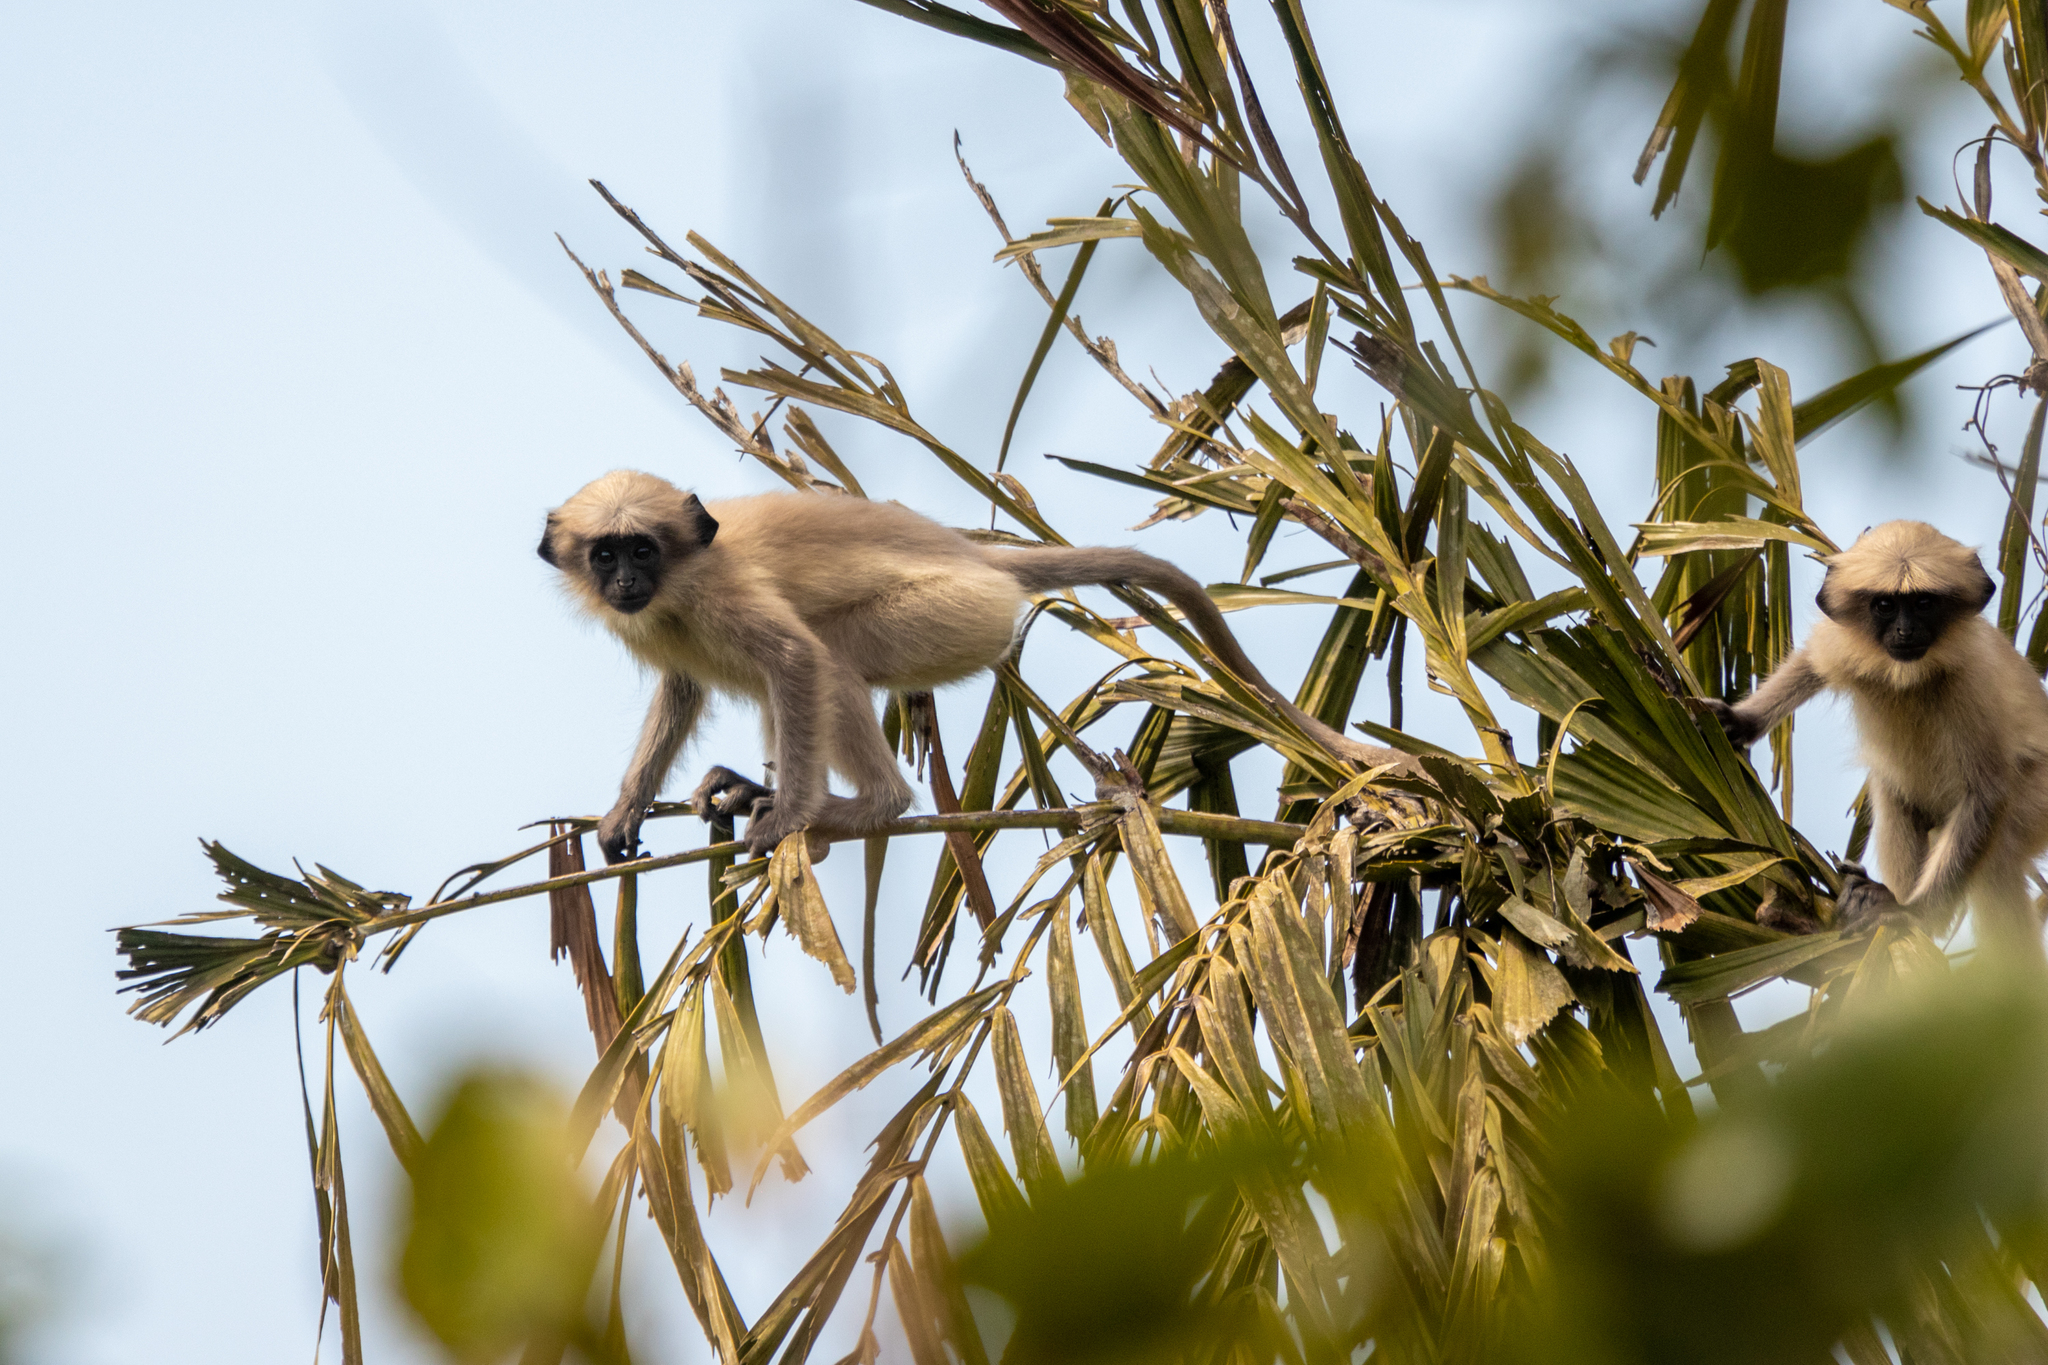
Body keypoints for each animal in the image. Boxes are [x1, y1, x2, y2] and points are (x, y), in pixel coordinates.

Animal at [536, 470, 1417, 863]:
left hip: (956, 612)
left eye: (642, 548)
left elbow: (795, 657)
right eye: (606, 553)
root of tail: (980, 558)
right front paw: (625, 810)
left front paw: (788, 816)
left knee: (830, 657)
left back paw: (858, 807)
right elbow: (681, 688)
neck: (678, 584)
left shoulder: (720, 592)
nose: (623, 582)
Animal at [1695, 519, 2048, 949]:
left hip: (2037, 798)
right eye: (1885, 605)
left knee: (1997, 857)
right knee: (1894, 792)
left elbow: (1987, 792)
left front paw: (1915, 913)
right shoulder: (1845, 640)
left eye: (1923, 603)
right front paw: (1739, 721)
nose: (1905, 630)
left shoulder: (1971, 681)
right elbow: (1810, 662)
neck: (1909, 678)